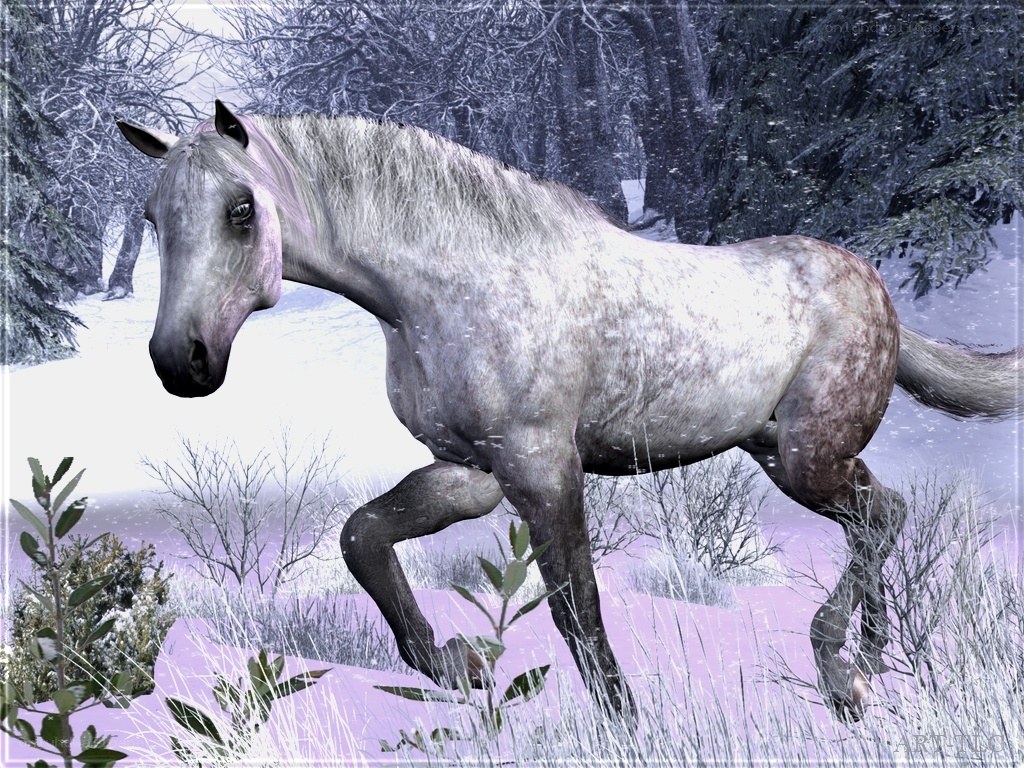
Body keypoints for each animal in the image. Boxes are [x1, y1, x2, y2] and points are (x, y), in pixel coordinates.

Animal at [117, 101, 1022, 722]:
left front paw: (626, 726)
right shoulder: (473, 471)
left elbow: (576, 608)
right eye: (152, 217)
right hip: (785, 454)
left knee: (883, 514)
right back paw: (864, 671)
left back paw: (843, 671)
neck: (446, 288)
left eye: (241, 210)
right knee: (880, 513)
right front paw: (456, 665)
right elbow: (362, 537)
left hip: (808, 456)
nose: (179, 362)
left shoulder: (543, 466)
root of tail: (873, 285)